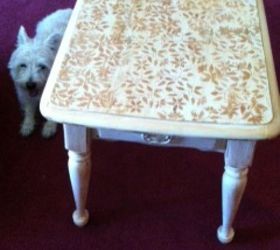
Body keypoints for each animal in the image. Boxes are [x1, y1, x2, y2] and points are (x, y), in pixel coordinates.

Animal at [8, 8, 72, 137]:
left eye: (42, 67)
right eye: (23, 65)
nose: (30, 84)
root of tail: (66, 10)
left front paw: (49, 127)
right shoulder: (25, 94)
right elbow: (28, 108)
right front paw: (27, 125)